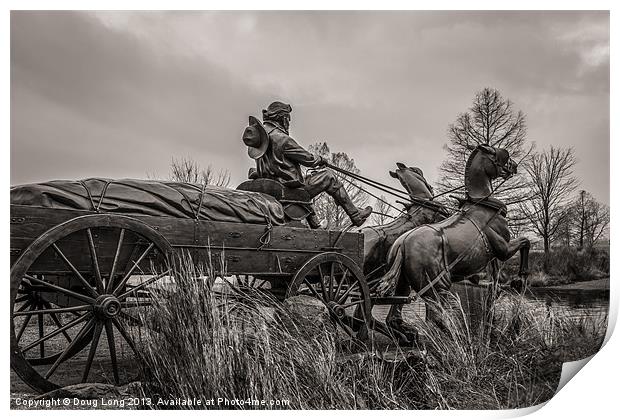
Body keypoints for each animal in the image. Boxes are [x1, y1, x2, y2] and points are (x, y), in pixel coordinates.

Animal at [376, 144, 532, 334]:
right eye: (496, 152)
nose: (514, 165)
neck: (483, 205)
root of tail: (402, 244)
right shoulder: (503, 248)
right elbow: (525, 241)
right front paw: (521, 277)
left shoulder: (494, 254)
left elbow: (495, 275)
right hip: (437, 287)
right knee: (436, 319)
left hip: (404, 284)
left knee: (395, 317)